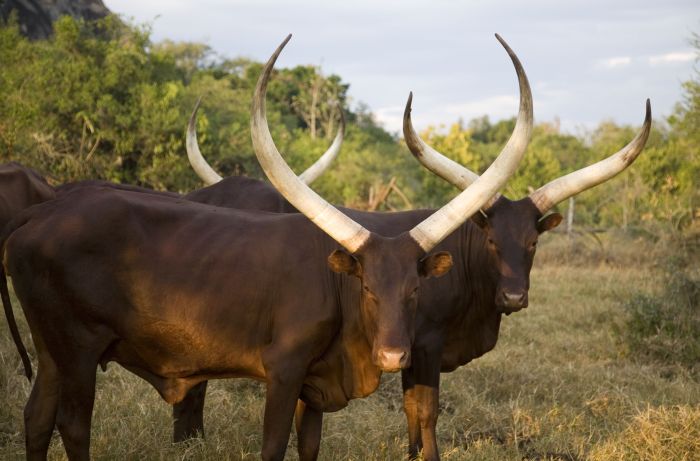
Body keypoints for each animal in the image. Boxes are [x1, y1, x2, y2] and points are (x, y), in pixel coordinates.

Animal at [1, 34, 524, 458]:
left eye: (414, 291)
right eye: (369, 289)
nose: (395, 357)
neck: (335, 286)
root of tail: (42, 214)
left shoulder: (315, 385)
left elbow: (309, 447)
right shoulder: (284, 370)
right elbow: (273, 447)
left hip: (51, 350)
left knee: (36, 417)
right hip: (77, 349)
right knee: (73, 426)